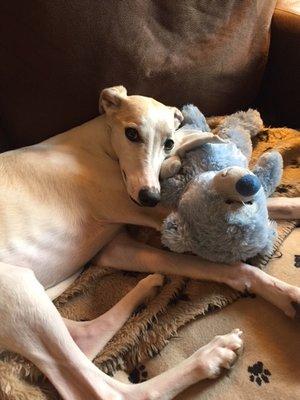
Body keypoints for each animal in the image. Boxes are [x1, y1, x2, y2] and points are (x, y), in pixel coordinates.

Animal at [0, 85, 298, 400]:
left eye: (168, 143)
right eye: (131, 133)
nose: (150, 196)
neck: (98, 144)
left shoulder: (114, 248)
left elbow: (226, 261)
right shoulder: (140, 208)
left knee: (84, 337)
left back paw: (149, 286)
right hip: (17, 287)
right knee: (108, 390)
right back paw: (211, 356)